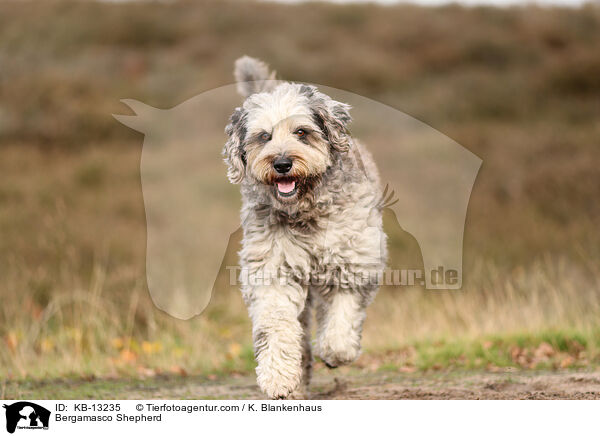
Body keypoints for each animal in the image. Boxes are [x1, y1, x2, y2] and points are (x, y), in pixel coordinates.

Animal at [223, 55, 386, 398]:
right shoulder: (272, 269)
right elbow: (276, 325)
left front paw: (337, 352)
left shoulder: (353, 261)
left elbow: (341, 318)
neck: (305, 212)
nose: (282, 163)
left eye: (301, 131)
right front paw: (278, 378)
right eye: (264, 136)